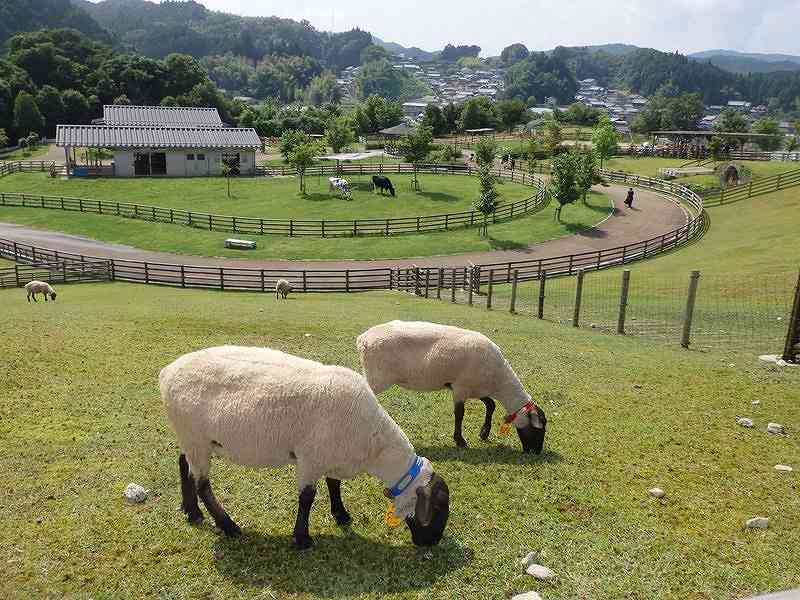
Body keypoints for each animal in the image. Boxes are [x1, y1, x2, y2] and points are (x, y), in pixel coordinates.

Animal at [158, 346, 450, 548]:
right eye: (437, 507)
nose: (432, 542)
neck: (374, 442)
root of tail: (167, 372)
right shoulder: (311, 458)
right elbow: (307, 497)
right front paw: (302, 539)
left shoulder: (331, 454)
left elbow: (334, 484)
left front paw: (341, 515)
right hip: (195, 437)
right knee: (202, 484)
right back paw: (228, 525)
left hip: (192, 437)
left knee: (184, 464)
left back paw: (191, 511)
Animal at [354, 322, 544, 452]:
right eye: (539, 428)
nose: (536, 452)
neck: (499, 381)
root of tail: (363, 338)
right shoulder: (460, 388)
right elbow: (460, 414)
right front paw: (460, 441)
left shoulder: (473, 388)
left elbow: (490, 405)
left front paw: (483, 433)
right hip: (377, 377)